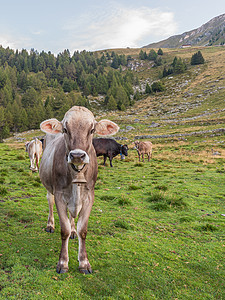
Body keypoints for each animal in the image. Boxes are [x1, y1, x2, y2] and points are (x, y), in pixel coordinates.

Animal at [39, 106, 118, 274]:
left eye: (92, 129)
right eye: (65, 129)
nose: (77, 155)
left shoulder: (89, 197)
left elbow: (83, 230)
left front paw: (84, 262)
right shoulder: (60, 195)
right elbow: (64, 230)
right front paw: (63, 262)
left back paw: (73, 231)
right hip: (49, 187)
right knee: (49, 201)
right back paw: (50, 225)